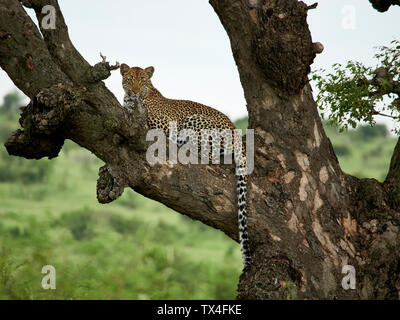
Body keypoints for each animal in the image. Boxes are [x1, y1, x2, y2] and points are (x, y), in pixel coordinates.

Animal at [119, 63, 250, 268]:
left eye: (142, 81)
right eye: (130, 79)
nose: (135, 92)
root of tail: (236, 132)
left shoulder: (163, 123)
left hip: (195, 121)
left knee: (208, 154)